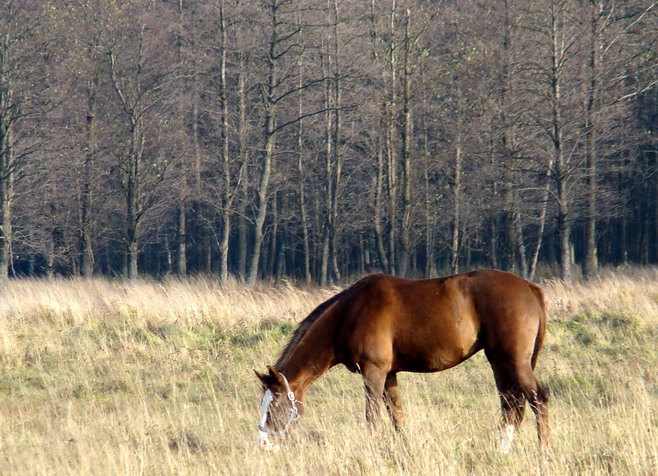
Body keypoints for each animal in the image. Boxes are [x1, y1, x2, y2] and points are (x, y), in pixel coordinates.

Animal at [254, 270, 544, 452]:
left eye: (274, 407)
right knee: (511, 404)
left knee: (537, 399)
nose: (263, 444)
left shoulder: (373, 372)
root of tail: (530, 287)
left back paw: (544, 449)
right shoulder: (390, 375)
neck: (349, 314)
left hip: (514, 362)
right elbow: (397, 416)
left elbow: (372, 416)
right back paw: (503, 449)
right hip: (498, 361)